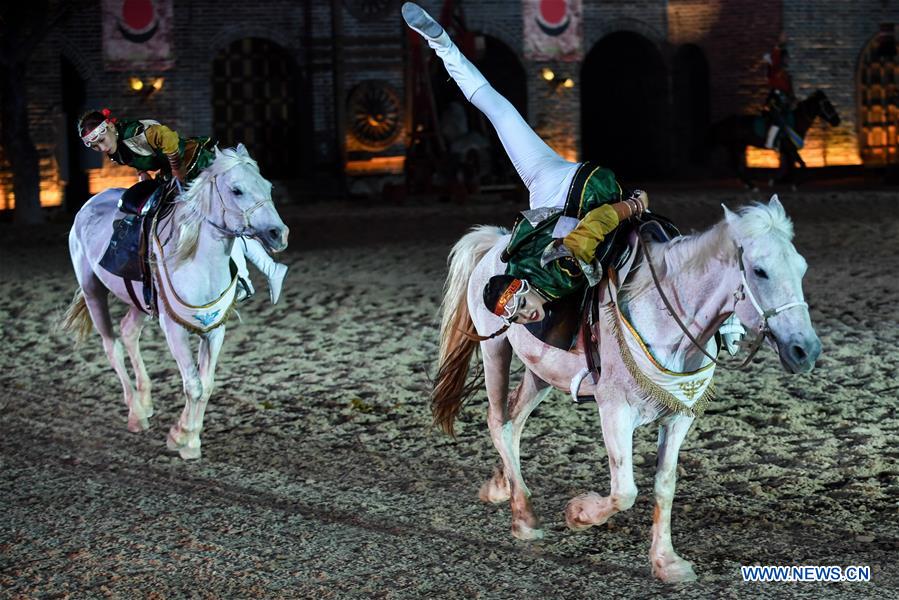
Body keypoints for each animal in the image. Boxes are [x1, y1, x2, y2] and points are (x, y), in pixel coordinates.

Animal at [62, 144, 288, 460]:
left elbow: (206, 385)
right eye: (237, 190)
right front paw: (183, 439)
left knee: (129, 332)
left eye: (268, 186)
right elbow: (192, 384)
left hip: (139, 302)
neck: (199, 263)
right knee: (112, 347)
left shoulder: (215, 330)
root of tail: (89, 204)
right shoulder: (174, 329)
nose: (278, 233)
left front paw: (188, 435)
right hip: (92, 289)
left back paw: (145, 401)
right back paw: (136, 413)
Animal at [436, 197, 824, 580]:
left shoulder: (679, 417)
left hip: (540, 372)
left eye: (803, 268)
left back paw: (504, 489)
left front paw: (666, 561)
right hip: (494, 350)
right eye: (759, 271)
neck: (665, 315)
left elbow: (664, 485)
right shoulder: (615, 412)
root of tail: (496, 242)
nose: (806, 350)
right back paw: (524, 517)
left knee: (513, 424)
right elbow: (624, 491)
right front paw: (578, 514)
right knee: (497, 422)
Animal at [712, 88, 844, 188]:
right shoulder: (791, 149)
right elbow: (802, 164)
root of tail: (726, 121)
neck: (796, 122)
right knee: (734, 164)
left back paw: (748, 183)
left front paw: (779, 181)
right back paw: (751, 185)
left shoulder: (787, 151)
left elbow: (791, 167)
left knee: (734, 164)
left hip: (739, 146)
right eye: (827, 105)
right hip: (735, 145)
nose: (837, 121)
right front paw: (794, 184)